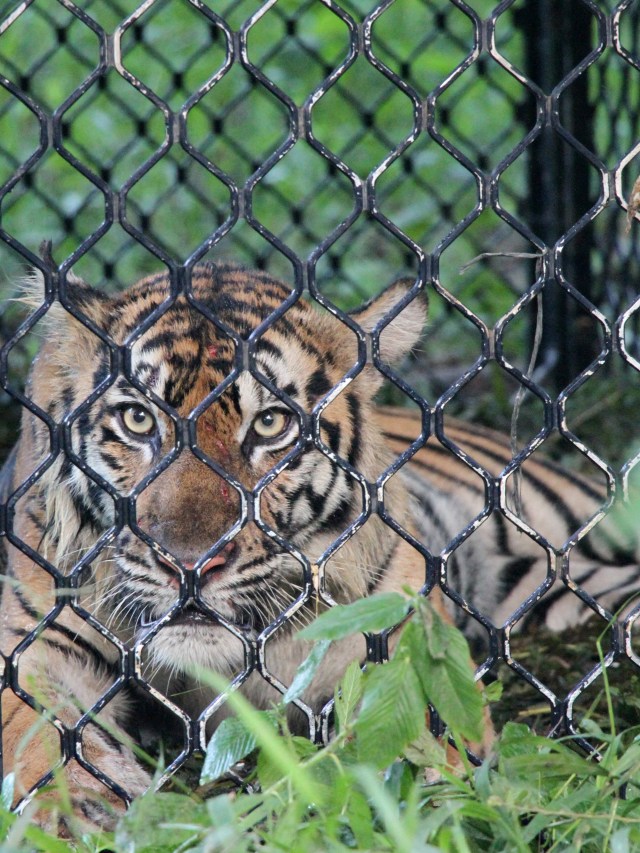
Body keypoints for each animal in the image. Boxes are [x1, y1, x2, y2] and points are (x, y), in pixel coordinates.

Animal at [0, 256, 636, 828]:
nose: (190, 564)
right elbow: (37, 730)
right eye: (137, 420)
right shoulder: (34, 647)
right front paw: (76, 808)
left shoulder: (393, 643)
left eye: (270, 425)